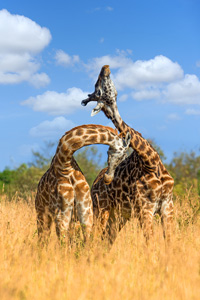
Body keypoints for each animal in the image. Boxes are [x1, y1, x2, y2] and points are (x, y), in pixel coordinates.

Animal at [81, 65, 173, 241]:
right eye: (98, 90)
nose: (105, 68)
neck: (151, 162)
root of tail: (94, 183)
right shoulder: (145, 209)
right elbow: (150, 242)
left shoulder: (168, 205)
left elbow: (169, 241)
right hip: (101, 209)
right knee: (93, 237)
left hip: (119, 216)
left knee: (106, 240)